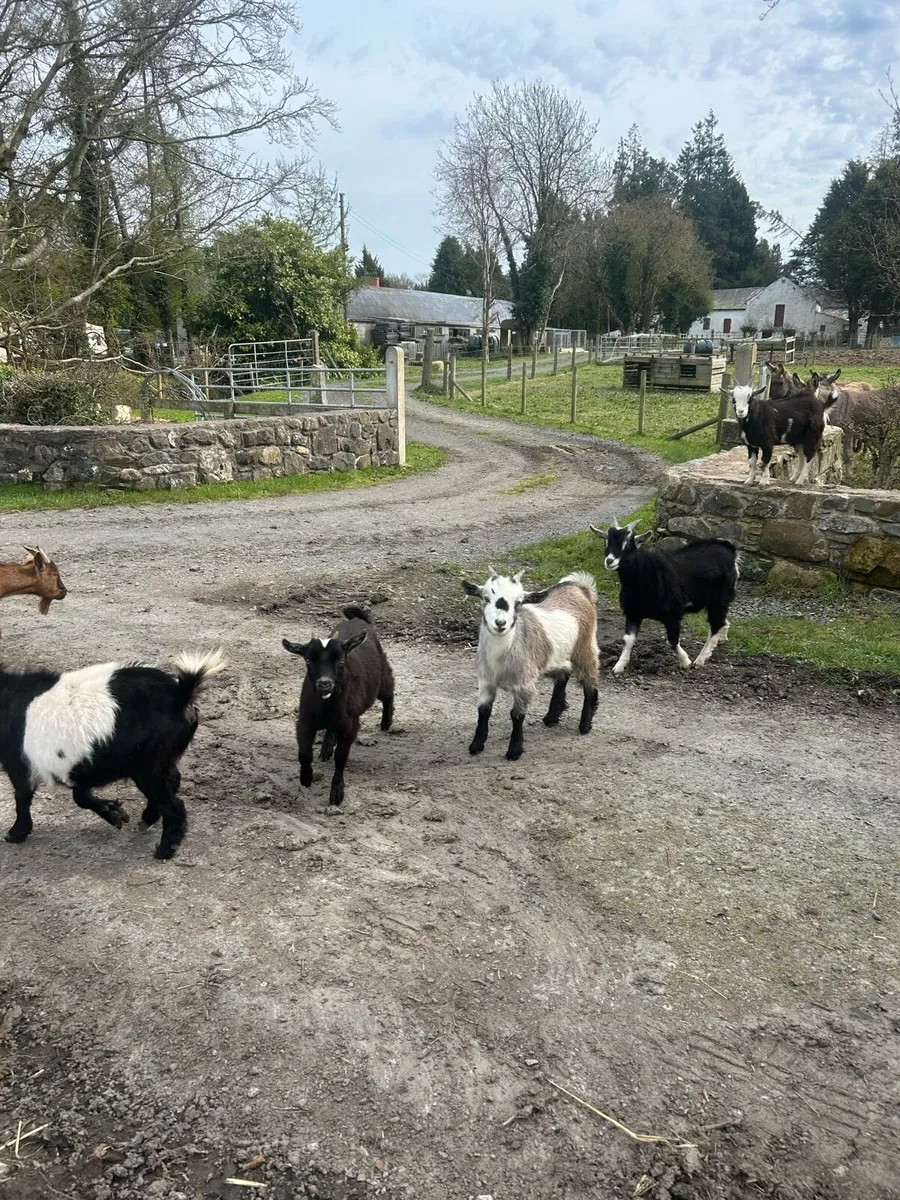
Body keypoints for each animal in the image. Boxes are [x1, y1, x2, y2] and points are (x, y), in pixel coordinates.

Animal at [0, 648, 225, 860]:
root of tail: (180, 694)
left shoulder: (18, 762)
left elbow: (22, 795)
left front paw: (14, 834)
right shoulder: (82, 764)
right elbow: (80, 795)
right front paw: (115, 814)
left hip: (148, 766)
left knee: (173, 803)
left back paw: (163, 850)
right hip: (160, 760)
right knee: (173, 781)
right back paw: (146, 820)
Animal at [283, 605, 394, 807]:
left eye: (341, 661)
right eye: (308, 661)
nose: (325, 684)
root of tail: (358, 619)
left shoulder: (350, 724)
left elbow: (341, 757)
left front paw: (336, 792)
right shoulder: (305, 720)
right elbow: (304, 753)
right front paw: (306, 778)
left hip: (381, 674)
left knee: (389, 690)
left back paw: (386, 722)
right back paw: (326, 748)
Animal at [461, 569, 599, 761]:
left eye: (518, 603)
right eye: (486, 598)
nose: (500, 623)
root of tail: (580, 587)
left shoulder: (523, 683)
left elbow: (517, 716)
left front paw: (514, 750)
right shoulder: (486, 681)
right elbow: (483, 710)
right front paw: (476, 745)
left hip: (585, 645)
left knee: (589, 681)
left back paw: (585, 724)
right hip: (556, 656)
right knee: (563, 674)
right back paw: (552, 716)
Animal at [591, 521, 738, 675]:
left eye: (629, 544)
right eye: (606, 542)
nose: (609, 561)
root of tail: (729, 549)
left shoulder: (672, 615)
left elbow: (672, 641)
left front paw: (686, 662)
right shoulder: (633, 613)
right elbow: (628, 639)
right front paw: (619, 666)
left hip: (719, 598)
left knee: (716, 624)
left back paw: (700, 660)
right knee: (722, 622)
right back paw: (721, 638)